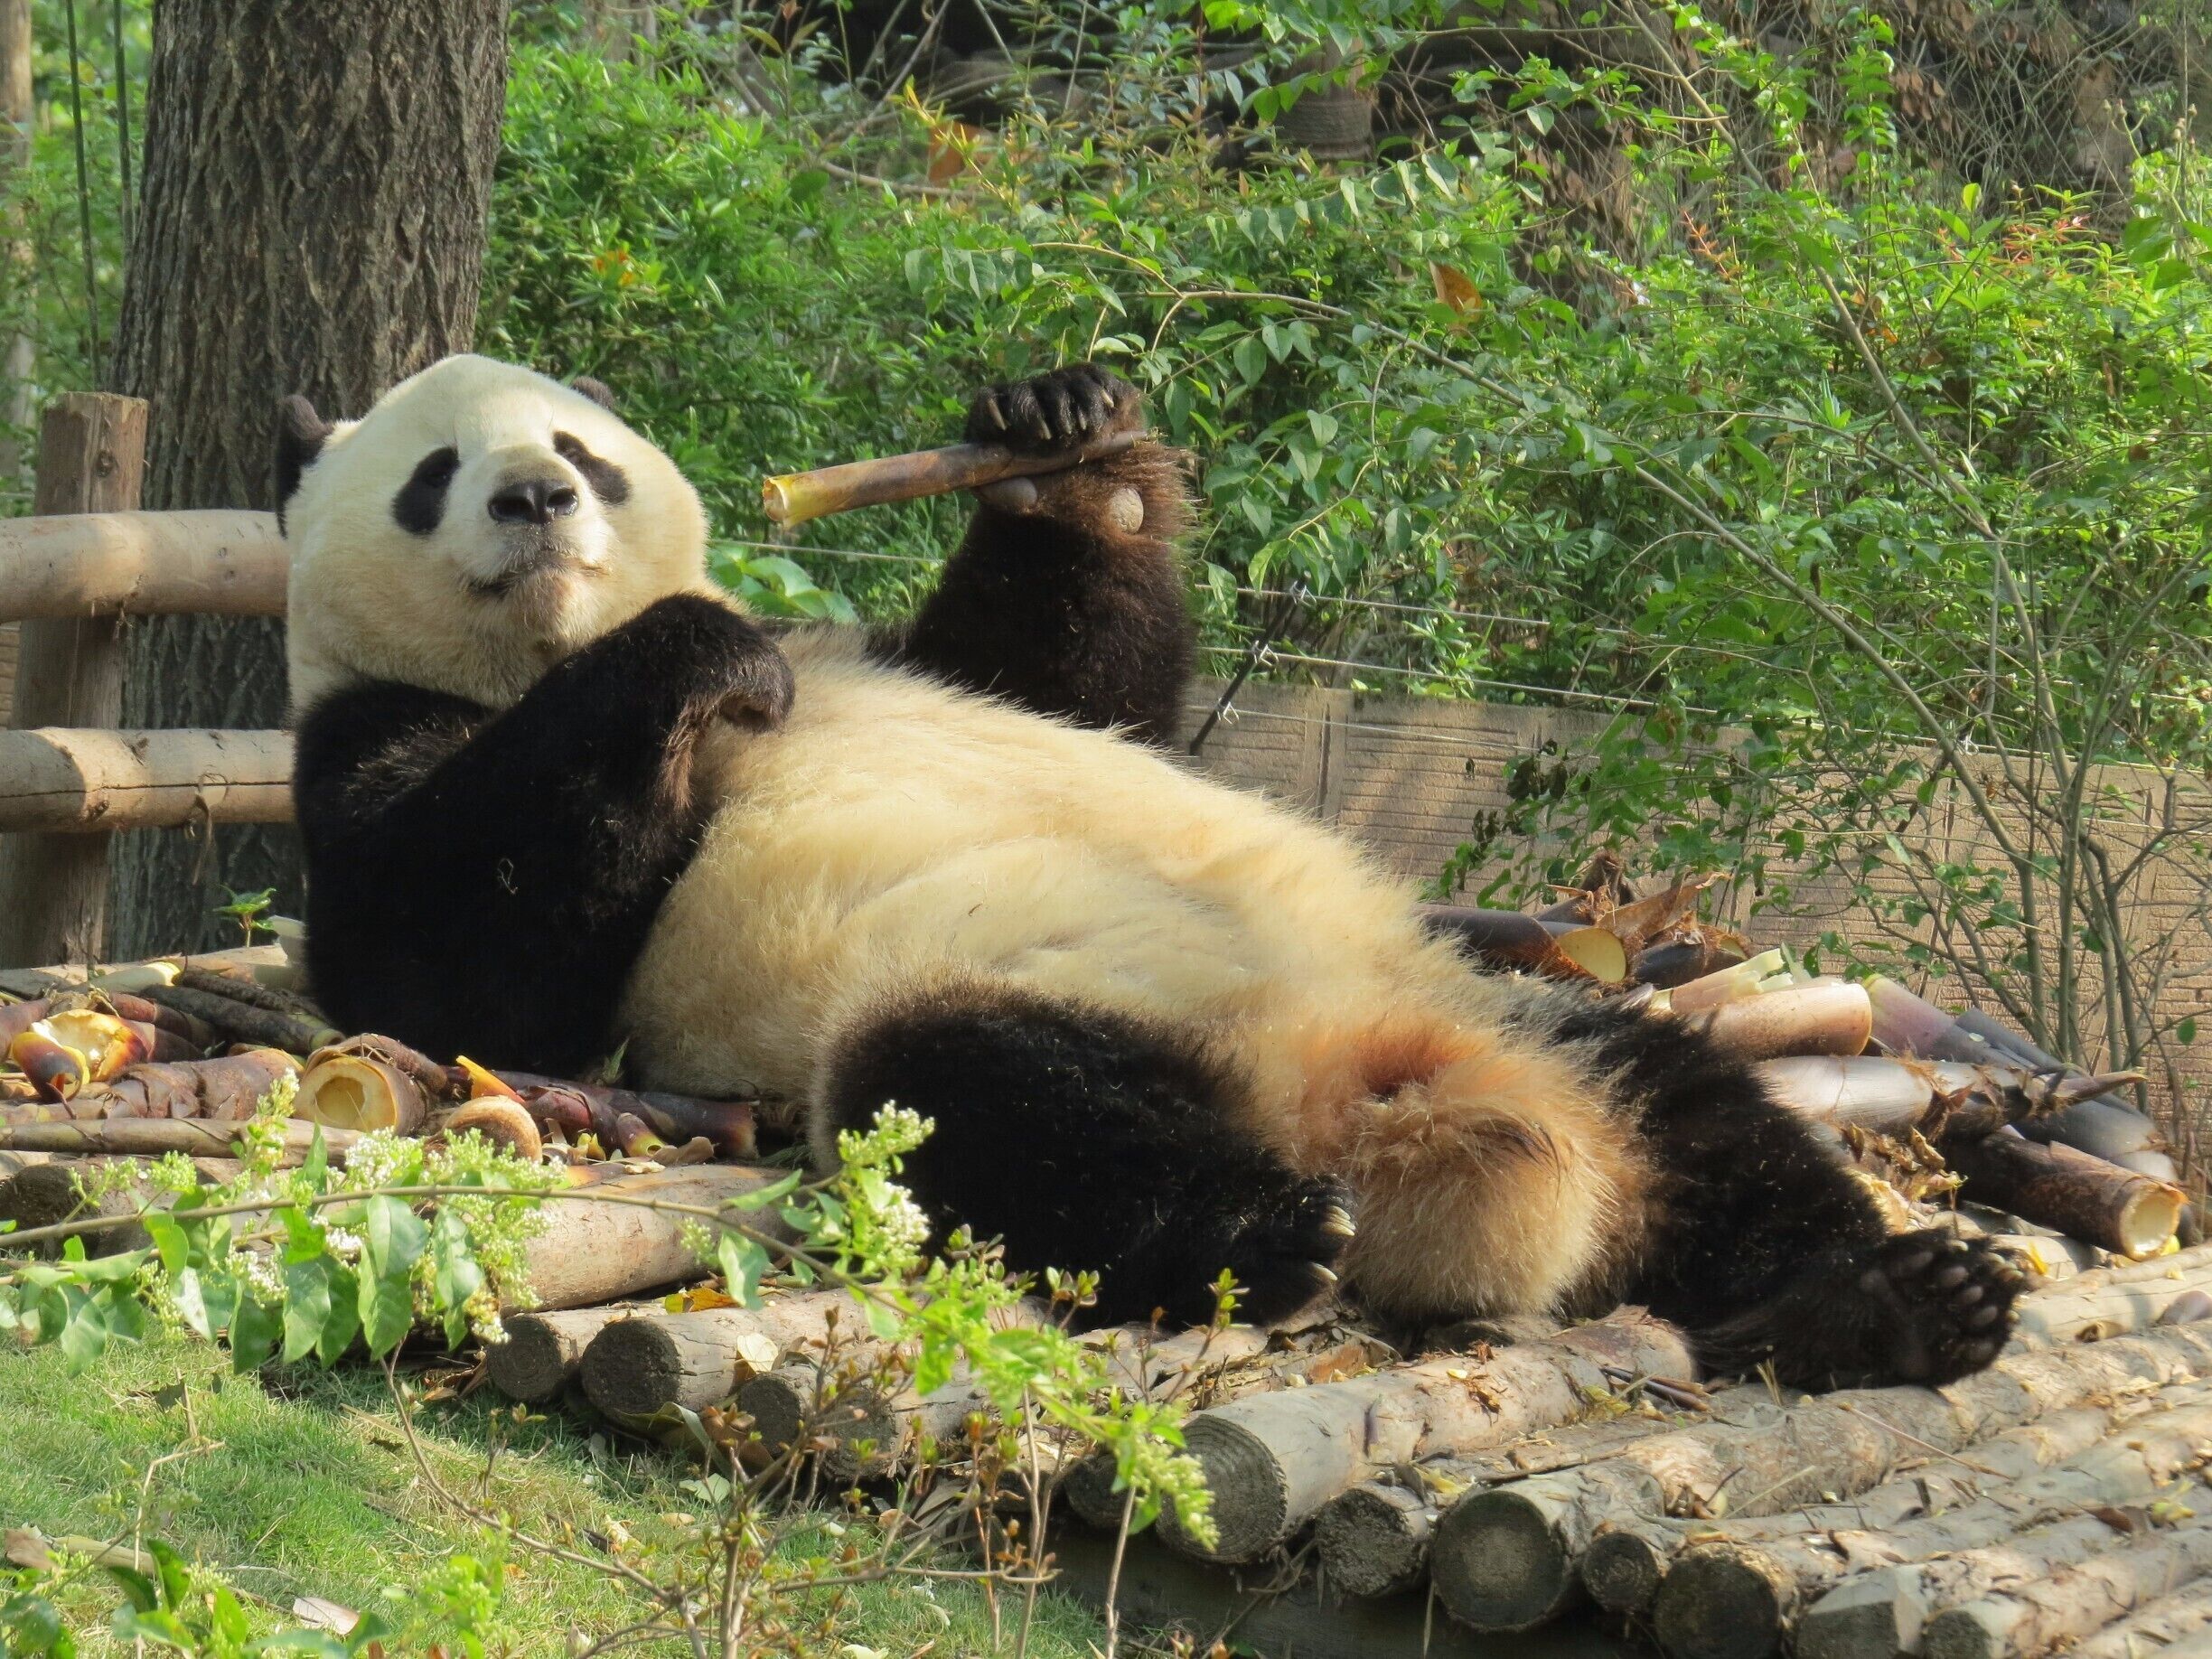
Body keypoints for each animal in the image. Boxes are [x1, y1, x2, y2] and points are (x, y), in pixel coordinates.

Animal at [281, 353, 2022, 1386]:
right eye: (435, 472)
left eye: (582, 450)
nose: (533, 497)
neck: (542, 652)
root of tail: (1383, 1109)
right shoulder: (378, 742)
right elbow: (465, 976)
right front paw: (692, 656)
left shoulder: (932, 656)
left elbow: (1081, 679)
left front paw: (1057, 437)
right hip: (983, 1013)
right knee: (989, 1102)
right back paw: (1262, 1234)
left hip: (1514, 1006)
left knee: (1698, 1113)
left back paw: (1882, 1301)